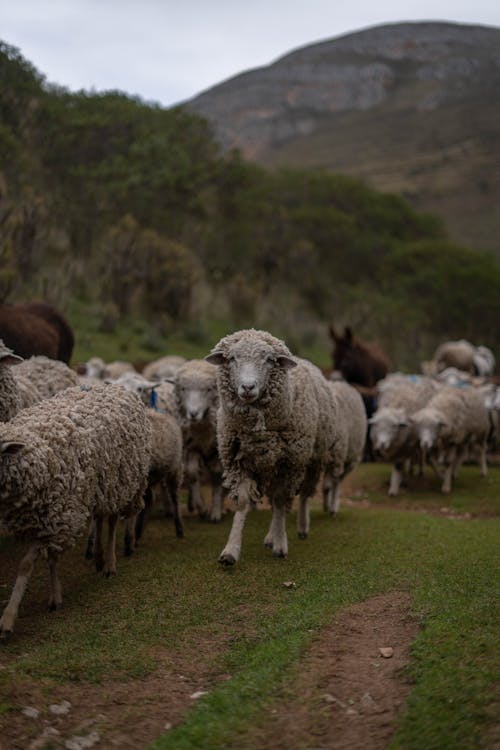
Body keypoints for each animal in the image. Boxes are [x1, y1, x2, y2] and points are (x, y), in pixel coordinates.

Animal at [0, 384, 151, 636]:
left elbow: (26, 565)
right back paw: (98, 556)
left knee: (111, 522)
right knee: (99, 517)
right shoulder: (47, 521)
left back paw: (109, 564)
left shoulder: (57, 520)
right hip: (98, 485)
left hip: (119, 482)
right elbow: (50, 560)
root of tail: (112, 385)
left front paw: (8, 618)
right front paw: (55, 596)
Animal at [173, 358, 226, 524]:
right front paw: (201, 508)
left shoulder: (218, 450)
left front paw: (215, 512)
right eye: (184, 389)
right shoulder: (192, 447)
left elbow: (217, 476)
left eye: (208, 389)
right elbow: (193, 473)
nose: (193, 413)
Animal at [207, 328, 344, 564]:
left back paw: (301, 527)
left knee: (303, 495)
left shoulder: (290, 463)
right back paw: (271, 536)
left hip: (311, 460)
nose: (248, 387)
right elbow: (243, 503)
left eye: (269, 360)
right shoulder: (239, 462)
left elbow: (281, 500)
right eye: (231, 358)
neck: (259, 432)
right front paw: (231, 551)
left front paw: (281, 545)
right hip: (269, 466)